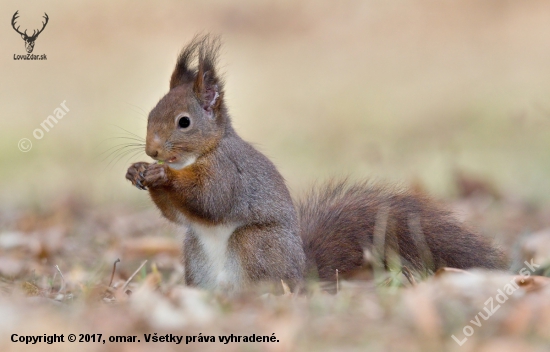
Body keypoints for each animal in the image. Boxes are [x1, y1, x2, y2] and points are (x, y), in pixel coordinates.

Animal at [126, 34, 508, 292]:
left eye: (184, 122)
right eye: (151, 112)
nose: (152, 151)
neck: (196, 156)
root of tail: (301, 276)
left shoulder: (229, 172)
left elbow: (210, 198)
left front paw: (162, 176)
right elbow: (177, 214)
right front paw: (138, 171)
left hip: (256, 244)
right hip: (194, 251)